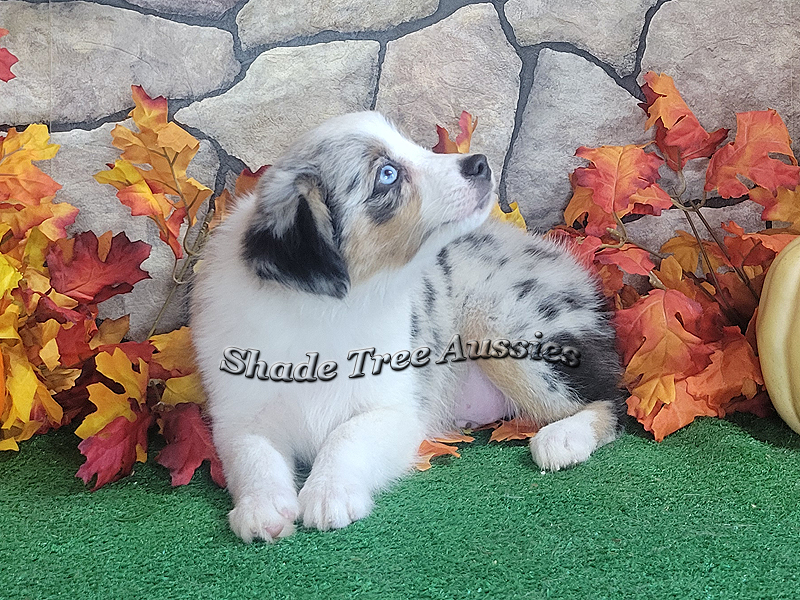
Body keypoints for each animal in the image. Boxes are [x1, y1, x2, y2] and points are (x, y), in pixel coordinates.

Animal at [189, 110, 624, 540]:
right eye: (387, 174)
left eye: (412, 144)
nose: (480, 163)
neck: (324, 312)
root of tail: (557, 254)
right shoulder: (238, 413)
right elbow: (253, 454)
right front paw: (261, 509)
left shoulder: (395, 410)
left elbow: (347, 436)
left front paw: (330, 495)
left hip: (498, 326)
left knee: (610, 400)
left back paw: (563, 438)